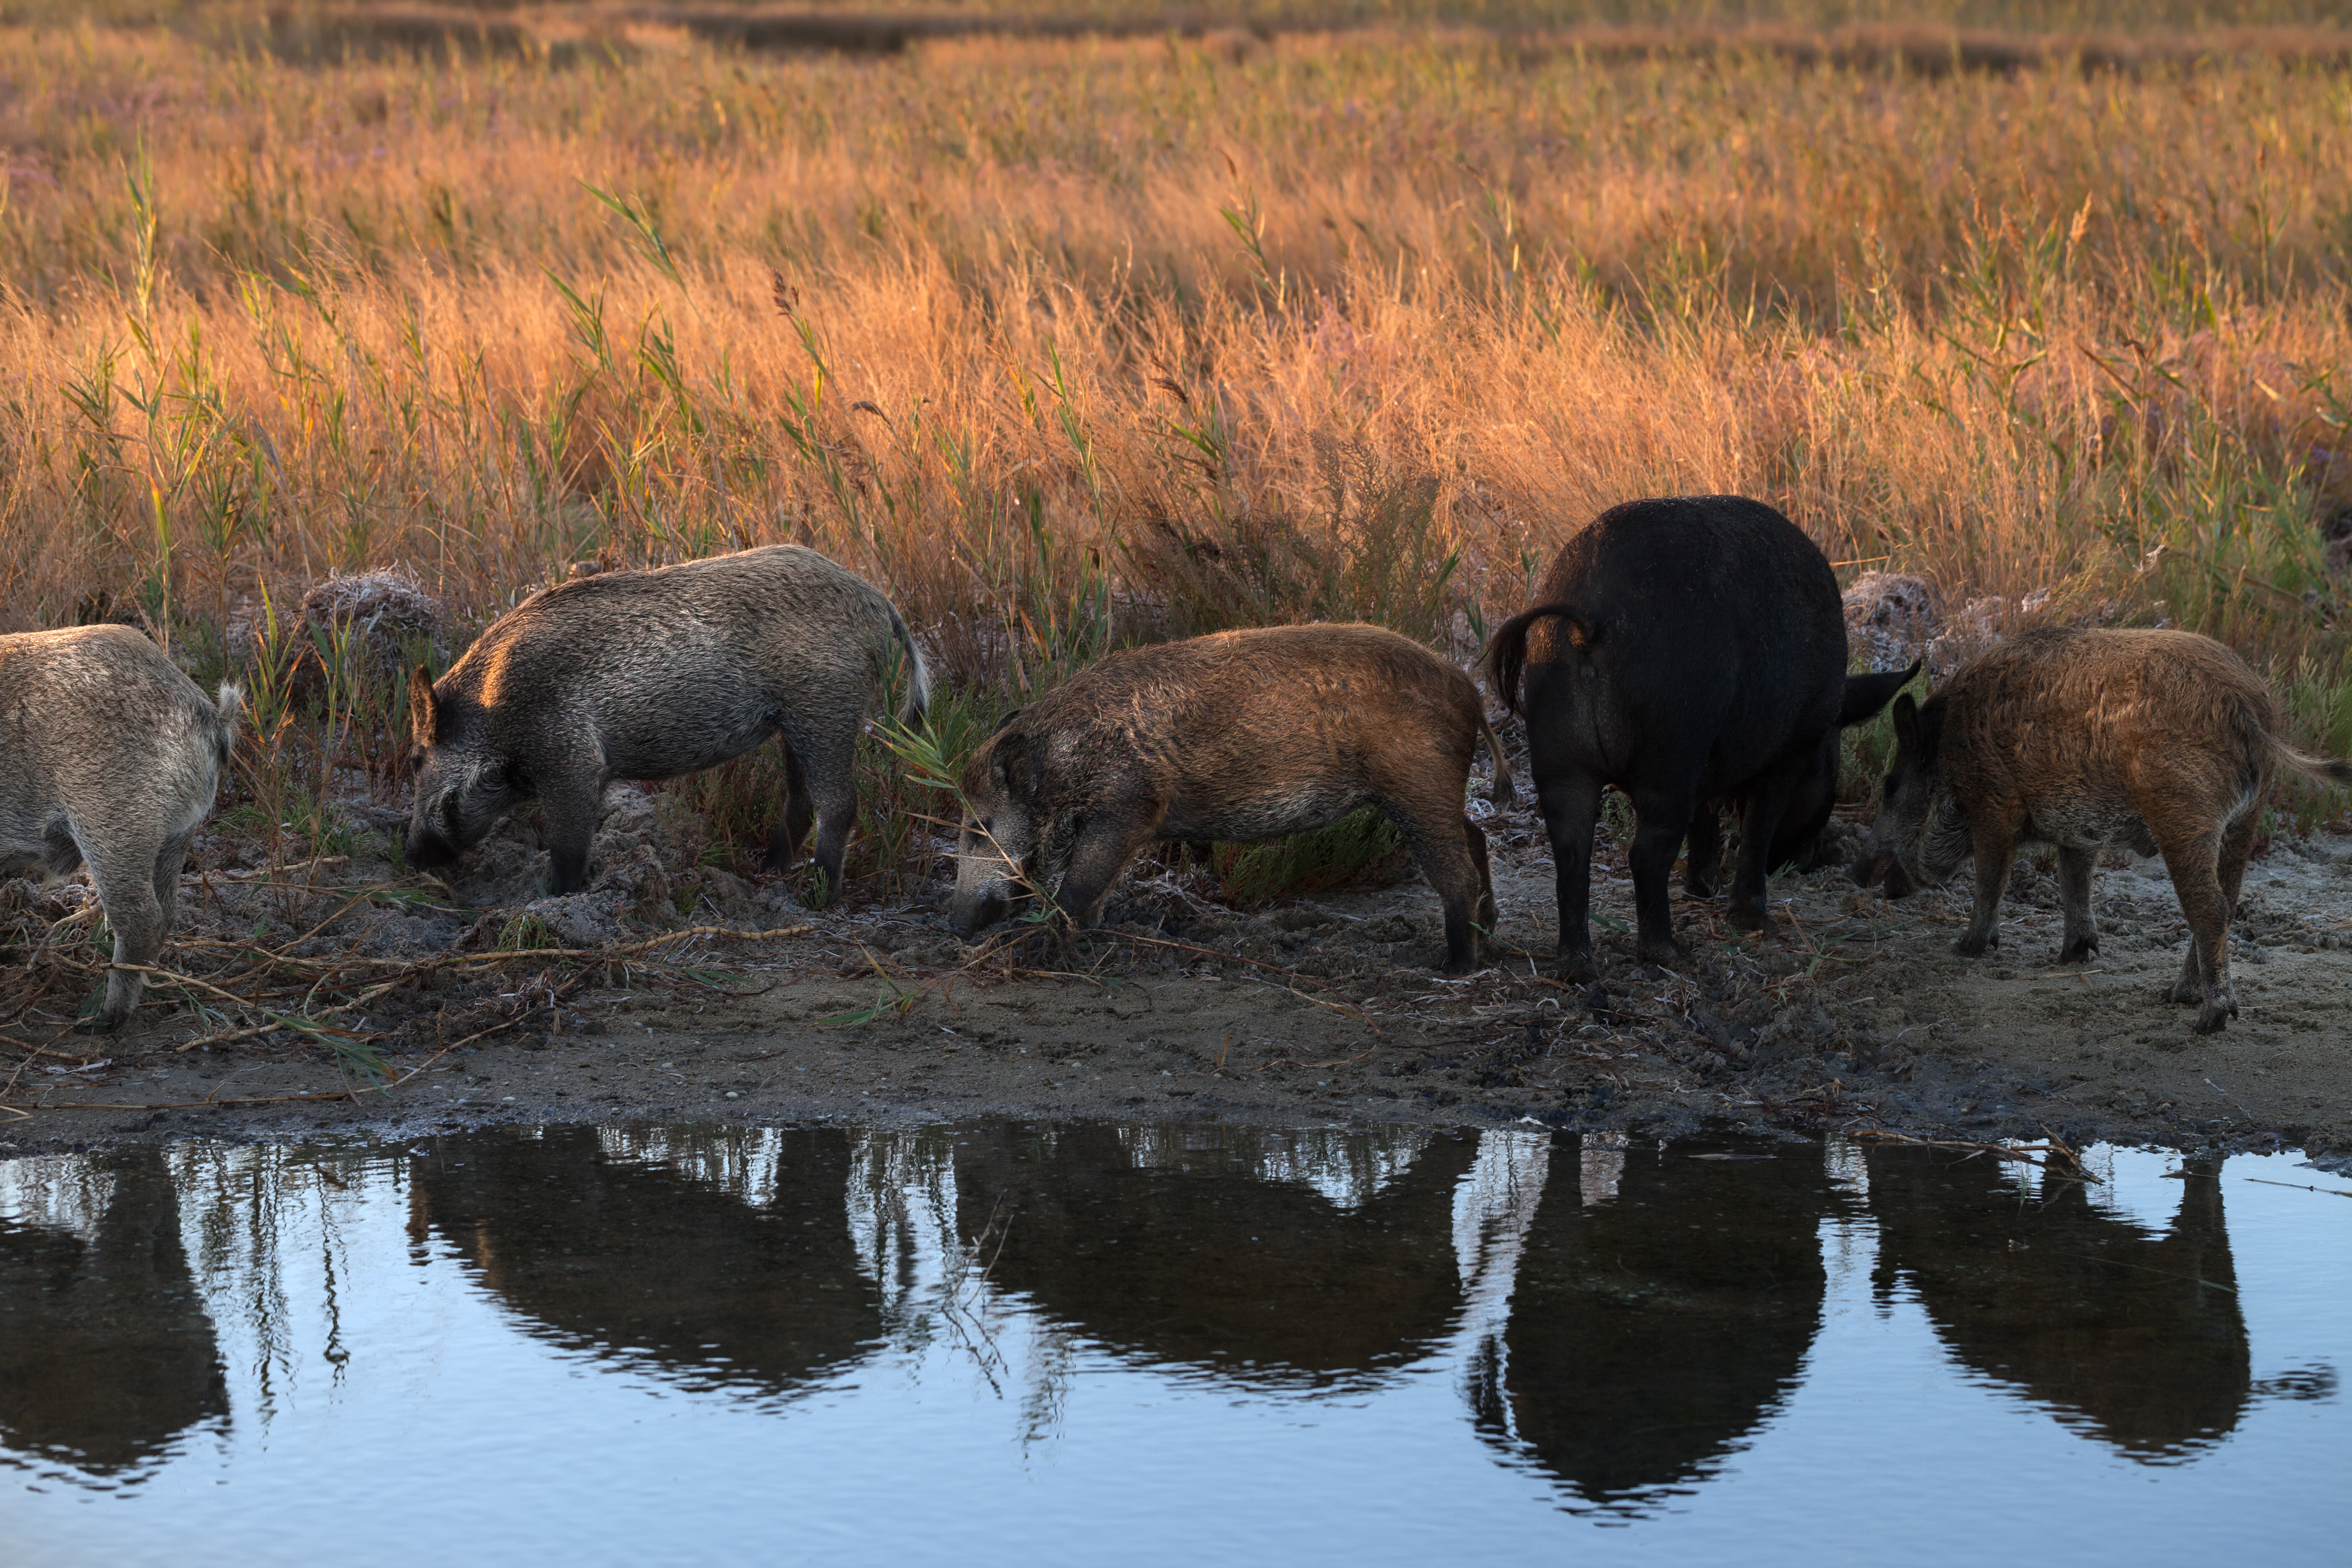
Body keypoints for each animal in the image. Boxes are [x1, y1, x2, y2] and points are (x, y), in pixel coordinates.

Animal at [950, 620, 1514, 968]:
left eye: (980, 828)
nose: (954, 925)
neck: (1069, 765)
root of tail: (1470, 692)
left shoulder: (1127, 808)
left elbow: (1078, 887)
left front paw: (1035, 947)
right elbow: (1097, 891)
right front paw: (1088, 934)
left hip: (1417, 785)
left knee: (1457, 871)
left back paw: (1456, 966)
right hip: (1431, 792)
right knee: (1477, 837)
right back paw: (1489, 936)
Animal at [1853, 630, 2352, 1034]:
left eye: (1891, 786)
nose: (1857, 873)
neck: (1948, 752)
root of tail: (2248, 705)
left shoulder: (1994, 803)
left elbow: (1991, 878)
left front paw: (1966, 949)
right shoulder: (2079, 828)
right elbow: (2075, 879)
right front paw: (2074, 955)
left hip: (2181, 807)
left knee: (2210, 908)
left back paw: (2208, 1020)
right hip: (2246, 819)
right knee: (2227, 901)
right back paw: (2177, 996)